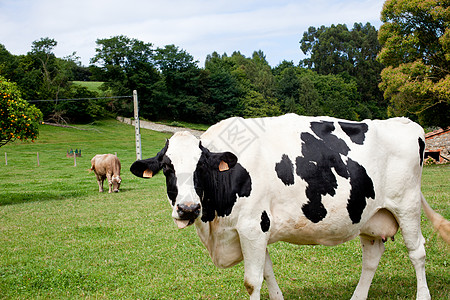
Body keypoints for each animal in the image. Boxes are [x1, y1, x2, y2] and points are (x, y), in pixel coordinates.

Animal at [129, 113, 446, 298]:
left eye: (201, 167)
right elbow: (266, 273)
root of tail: (403, 121)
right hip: (369, 213)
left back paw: (423, 295)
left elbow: (252, 281)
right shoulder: (257, 230)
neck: (214, 224)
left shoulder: (252, 226)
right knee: (371, 259)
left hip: (406, 205)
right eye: (167, 167)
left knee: (417, 252)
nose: (188, 208)